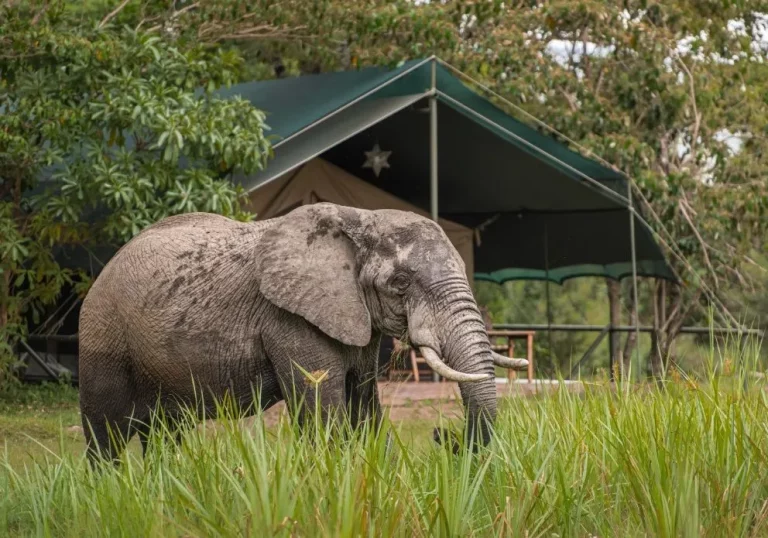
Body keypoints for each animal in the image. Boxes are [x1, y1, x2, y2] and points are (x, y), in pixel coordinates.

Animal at [78, 202, 527, 461]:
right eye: (400, 283)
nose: (443, 435)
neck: (360, 219)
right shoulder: (289, 319)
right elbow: (324, 413)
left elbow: (364, 408)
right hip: (103, 333)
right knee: (106, 433)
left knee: (165, 434)